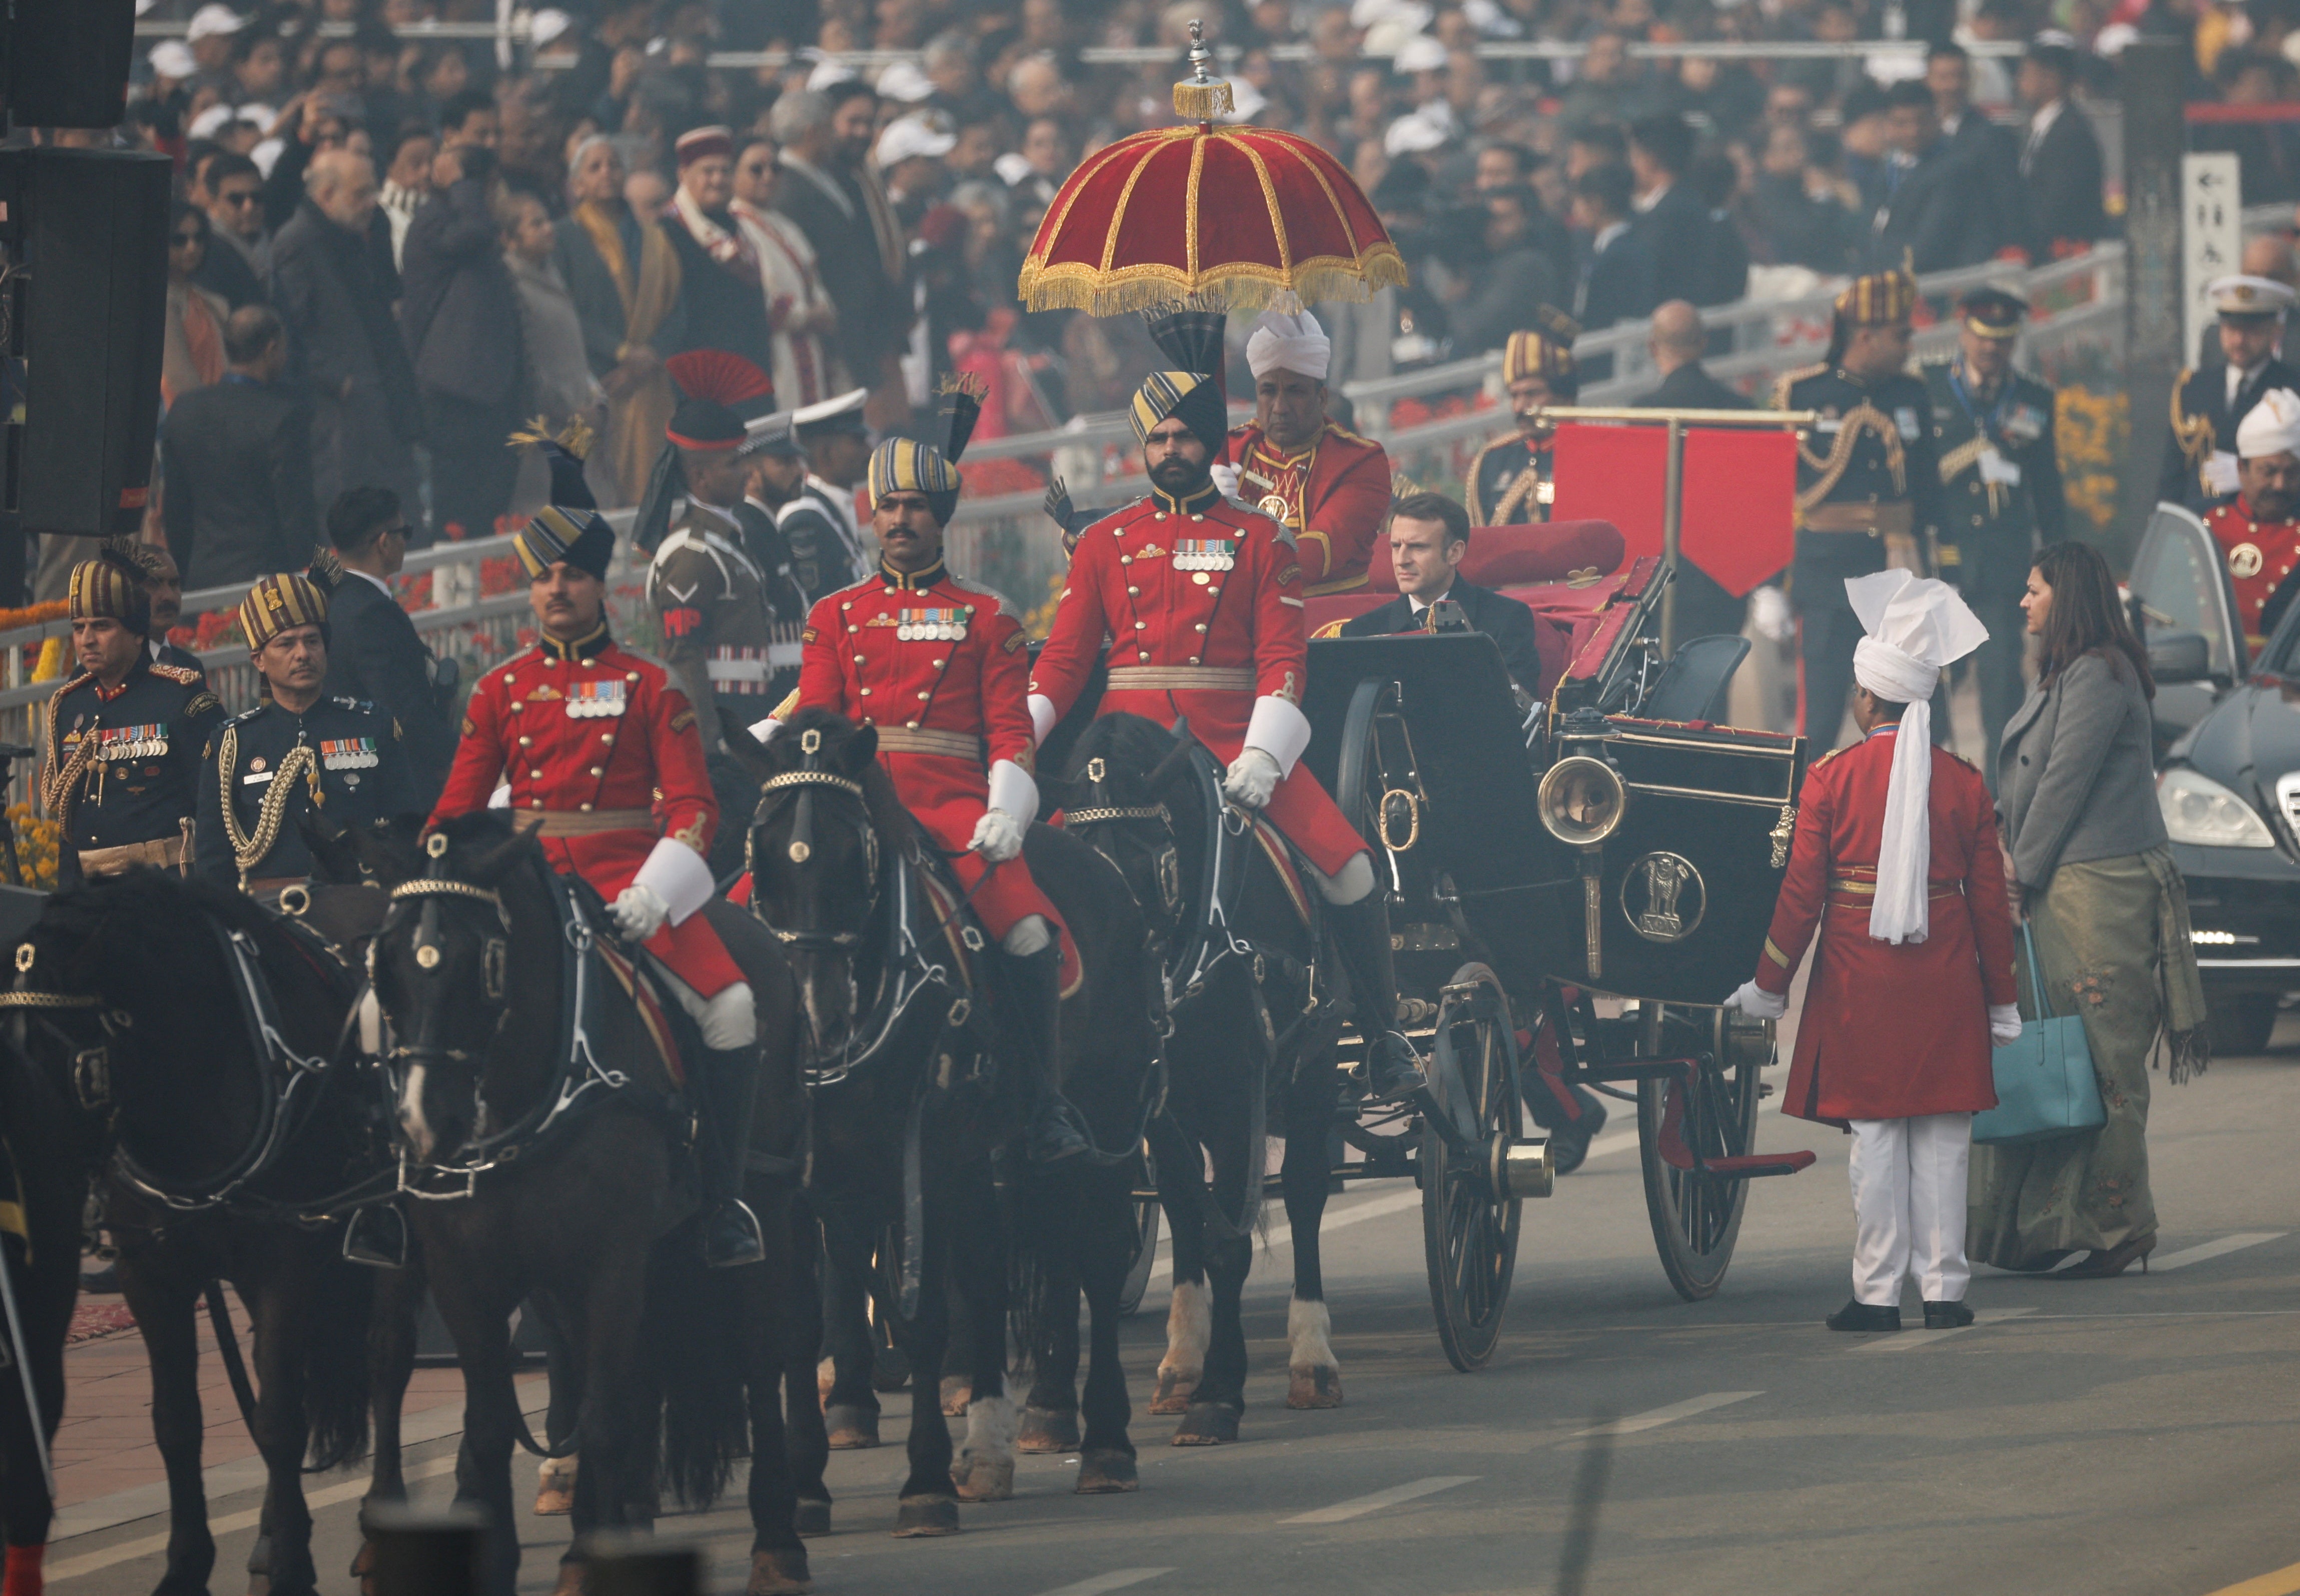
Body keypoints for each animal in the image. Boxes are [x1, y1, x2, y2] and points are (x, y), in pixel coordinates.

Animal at [2, 874, 388, 1596]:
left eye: (53, 1059)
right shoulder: (151, 1272)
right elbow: (178, 1422)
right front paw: (187, 1566)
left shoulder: (287, 1260)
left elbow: (279, 1419)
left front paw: (291, 1568)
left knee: (388, 1367)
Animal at [354, 819, 823, 1596]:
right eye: (384, 965)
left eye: (487, 963)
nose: (424, 1123)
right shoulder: (467, 1273)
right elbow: (490, 1425)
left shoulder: (609, 1263)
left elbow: (603, 1418)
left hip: (767, 1207)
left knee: (763, 1353)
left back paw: (778, 1541)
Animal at [736, 712, 1168, 1527]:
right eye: (762, 853)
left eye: (856, 852)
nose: (812, 1015)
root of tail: (1110, 877)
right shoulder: (810, 1183)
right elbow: (801, 1322)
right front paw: (805, 1485)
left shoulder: (927, 1162)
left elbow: (926, 1318)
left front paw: (927, 1481)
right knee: (1004, 1267)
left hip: (1100, 1117)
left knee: (1094, 1260)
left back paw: (1103, 1444)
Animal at [1053, 717, 1352, 1444]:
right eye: (1074, 873)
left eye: (1155, 867)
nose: (1127, 1001)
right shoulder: (1163, 1108)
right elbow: (1192, 1215)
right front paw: (1190, 1370)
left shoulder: (1240, 1087)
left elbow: (1230, 1240)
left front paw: (1221, 1393)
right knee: (1188, 1212)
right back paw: (1182, 1359)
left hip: (1313, 1075)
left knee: (1305, 1193)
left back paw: (1312, 1356)